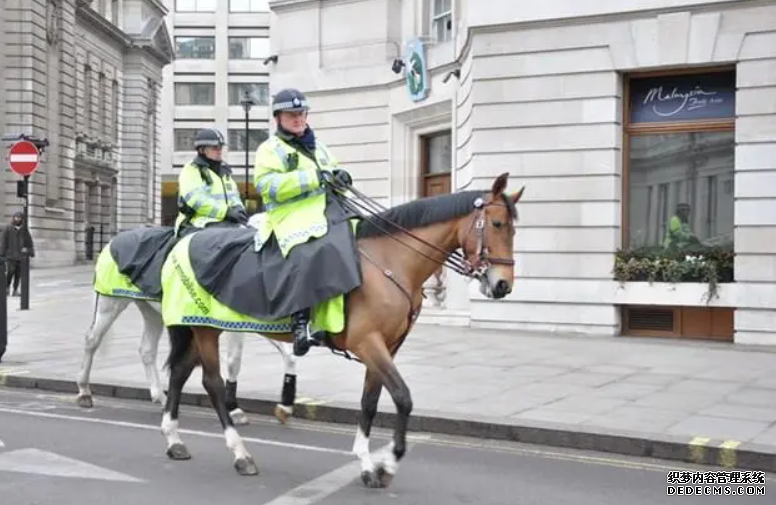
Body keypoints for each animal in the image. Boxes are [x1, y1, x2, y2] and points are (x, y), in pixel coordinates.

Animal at [75, 215, 300, 424]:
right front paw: (233, 408)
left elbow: (288, 355)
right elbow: (234, 361)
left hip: (151, 311)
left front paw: (285, 406)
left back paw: (160, 397)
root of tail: (114, 240)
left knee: (146, 349)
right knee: (92, 340)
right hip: (111, 302)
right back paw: (84, 392)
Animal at [158, 171, 524, 486]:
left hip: (200, 326)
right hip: (205, 330)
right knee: (212, 384)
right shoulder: (368, 343)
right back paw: (240, 454)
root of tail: (182, 244)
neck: (390, 261)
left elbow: (370, 402)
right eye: (497, 224)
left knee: (179, 373)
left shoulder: (386, 347)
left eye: (513, 230)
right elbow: (402, 397)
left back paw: (174, 440)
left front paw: (367, 463)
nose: (503, 285)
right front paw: (389, 462)